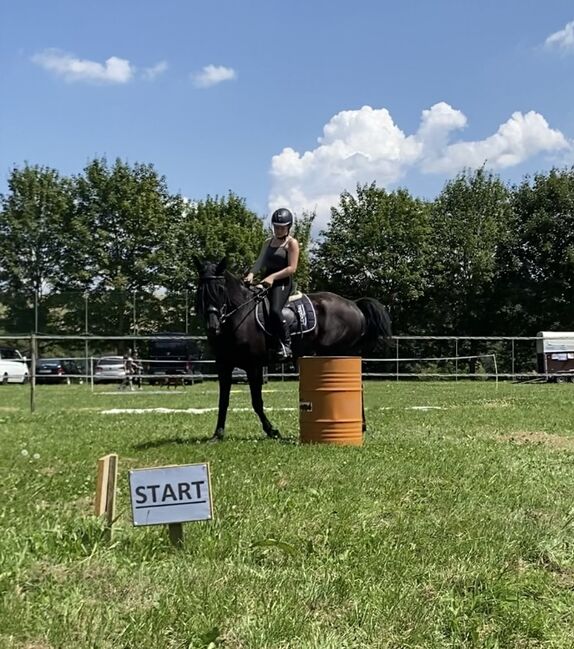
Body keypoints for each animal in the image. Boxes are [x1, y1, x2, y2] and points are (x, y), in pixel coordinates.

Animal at [196, 258, 394, 440]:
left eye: (220, 289)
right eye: (200, 290)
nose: (213, 326)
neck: (239, 317)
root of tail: (354, 305)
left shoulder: (254, 366)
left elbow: (256, 402)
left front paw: (272, 431)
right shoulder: (224, 365)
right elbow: (223, 401)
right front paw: (218, 434)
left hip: (339, 354)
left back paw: (361, 425)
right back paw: (361, 425)